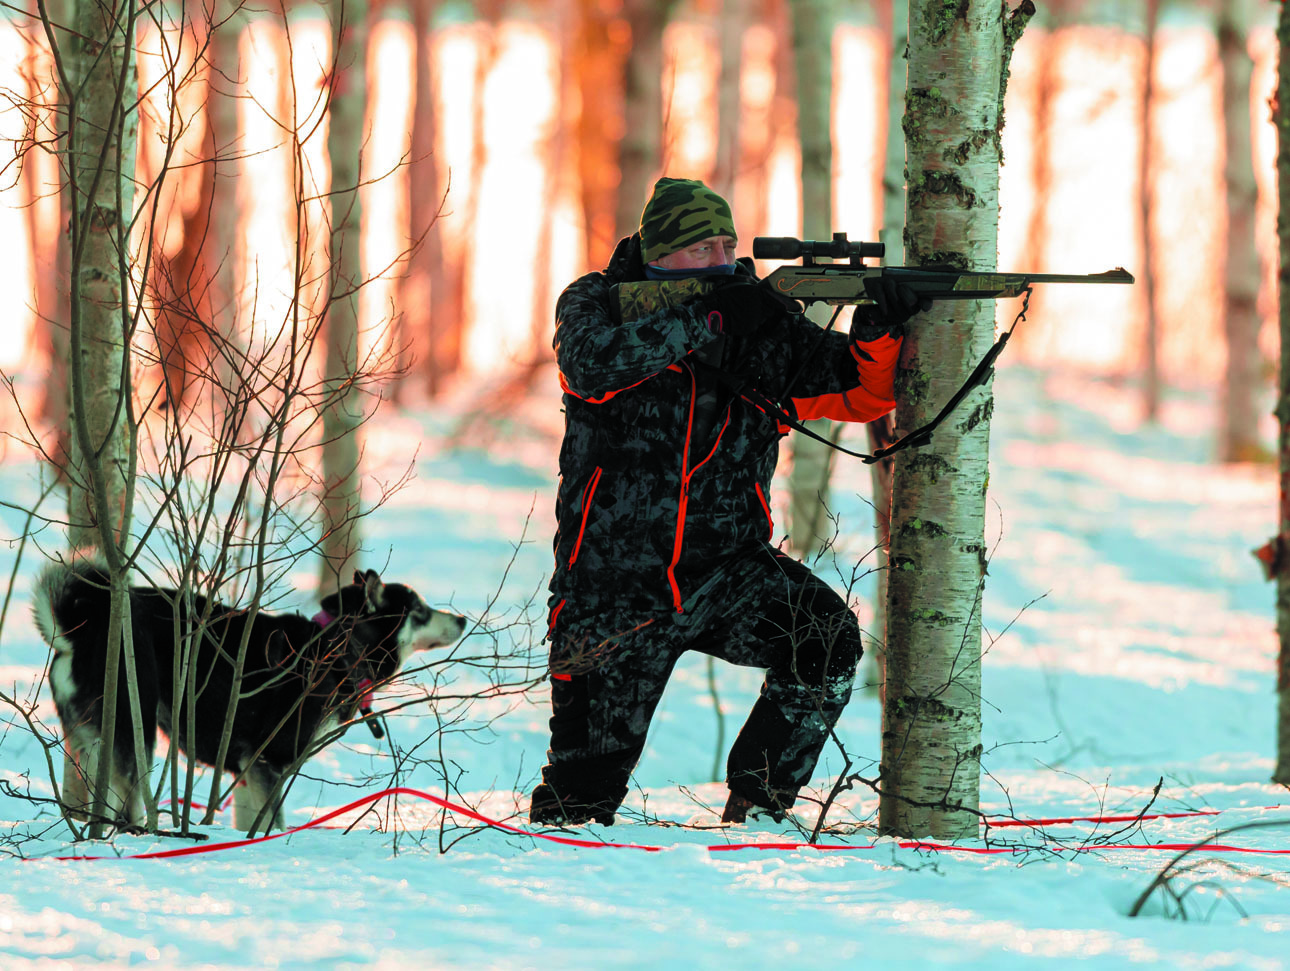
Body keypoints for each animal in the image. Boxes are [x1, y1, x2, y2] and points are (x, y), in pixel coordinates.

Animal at [32, 557, 469, 830]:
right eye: (420, 611)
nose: (463, 619)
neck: (335, 649)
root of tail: (80, 628)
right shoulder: (268, 761)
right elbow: (272, 822)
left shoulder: (245, 769)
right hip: (132, 727)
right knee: (128, 803)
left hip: (92, 741)